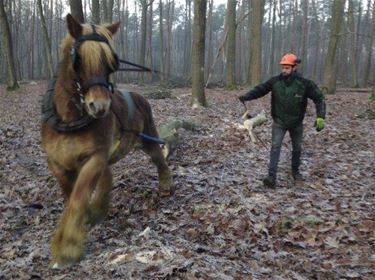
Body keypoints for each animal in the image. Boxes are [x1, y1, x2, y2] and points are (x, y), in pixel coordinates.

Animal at [41, 14, 173, 268]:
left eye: (112, 61)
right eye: (78, 59)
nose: (100, 106)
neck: (70, 119)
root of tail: (140, 96)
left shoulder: (95, 157)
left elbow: (78, 197)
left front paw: (68, 248)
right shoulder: (57, 163)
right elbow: (71, 195)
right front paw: (89, 218)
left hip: (147, 140)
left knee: (159, 159)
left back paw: (165, 185)